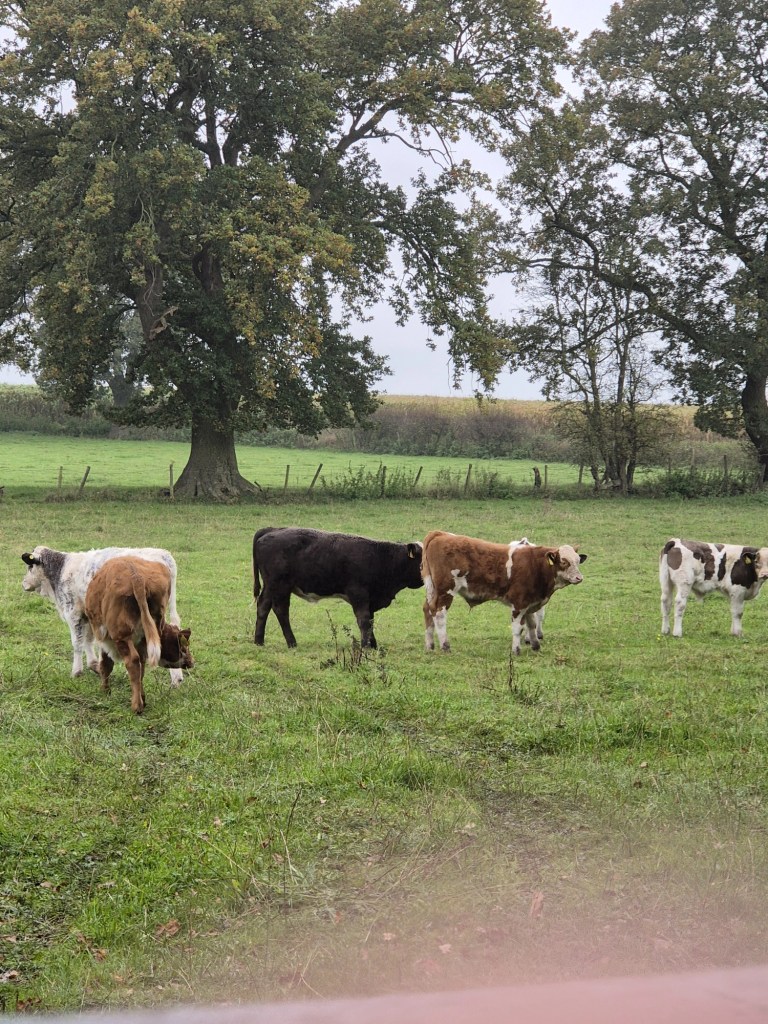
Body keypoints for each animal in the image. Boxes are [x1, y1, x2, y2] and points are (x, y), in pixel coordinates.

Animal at [20, 545, 186, 685]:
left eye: (30, 566)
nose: (23, 584)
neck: (62, 569)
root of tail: (163, 555)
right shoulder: (88, 615)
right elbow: (88, 640)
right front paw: (94, 665)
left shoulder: (73, 613)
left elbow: (77, 643)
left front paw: (76, 672)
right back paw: (176, 677)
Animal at [84, 557, 194, 713]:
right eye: (184, 648)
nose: (191, 661)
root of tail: (137, 576)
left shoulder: (106, 640)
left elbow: (106, 664)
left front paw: (105, 691)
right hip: (143, 637)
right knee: (140, 664)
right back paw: (141, 699)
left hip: (121, 636)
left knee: (133, 661)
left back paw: (136, 706)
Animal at [253, 527, 423, 648]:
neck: (381, 557)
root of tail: (273, 529)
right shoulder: (358, 593)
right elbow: (364, 620)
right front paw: (366, 646)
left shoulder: (370, 598)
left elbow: (370, 621)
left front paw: (374, 644)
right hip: (280, 585)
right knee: (281, 610)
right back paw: (292, 642)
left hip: (270, 586)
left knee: (263, 606)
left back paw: (259, 641)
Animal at [420, 530, 587, 654]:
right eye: (564, 562)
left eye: (578, 561)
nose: (579, 578)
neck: (535, 564)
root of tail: (440, 534)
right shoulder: (519, 603)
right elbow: (518, 628)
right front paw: (516, 650)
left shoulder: (530, 601)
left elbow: (532, 624)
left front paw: (535, 645)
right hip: (445, 591)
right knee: (439, 614)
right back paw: (445, 646)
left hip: (432, 591)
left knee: (428, 610)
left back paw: (430, 645)